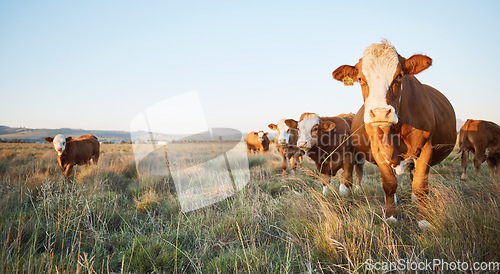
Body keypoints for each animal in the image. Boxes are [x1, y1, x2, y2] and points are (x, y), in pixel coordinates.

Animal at [332, 40, 458, 229]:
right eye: (360, 79)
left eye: (399, 76)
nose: (380, 113)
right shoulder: (378, 151)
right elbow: (389, 184)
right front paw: (391, 215)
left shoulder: (426, 148)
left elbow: (420, 185)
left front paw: (424, 219)